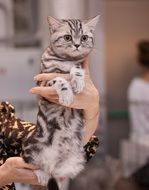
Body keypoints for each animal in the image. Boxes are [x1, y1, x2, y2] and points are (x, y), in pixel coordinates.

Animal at [21, 15, 99, 190]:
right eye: (68, 37)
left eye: (84, 37)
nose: (77, 45)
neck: (65, 60)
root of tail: (53, 166)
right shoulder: (43, 80)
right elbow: (59, 79)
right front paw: (66, 94)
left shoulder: (78, 64)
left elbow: (77, 69)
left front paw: (78, 82)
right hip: (31, 147)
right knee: (32, 164)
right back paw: (42, 174)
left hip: (74, 161)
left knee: (59, 177)